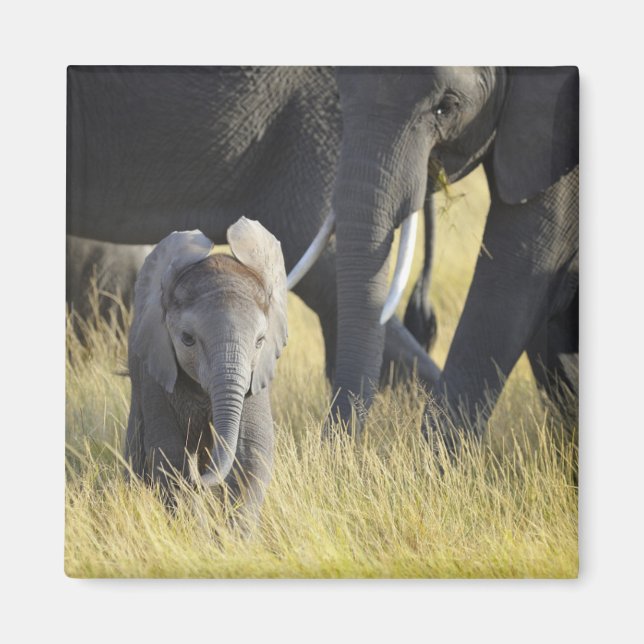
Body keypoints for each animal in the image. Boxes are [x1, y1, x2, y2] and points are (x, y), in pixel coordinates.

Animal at [124, 218, 288, 520]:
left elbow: (252, 452)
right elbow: (170, 457)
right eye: (187, 339)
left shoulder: (255, 376)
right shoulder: (155, 370)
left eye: (260, 341)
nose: (202, 478)